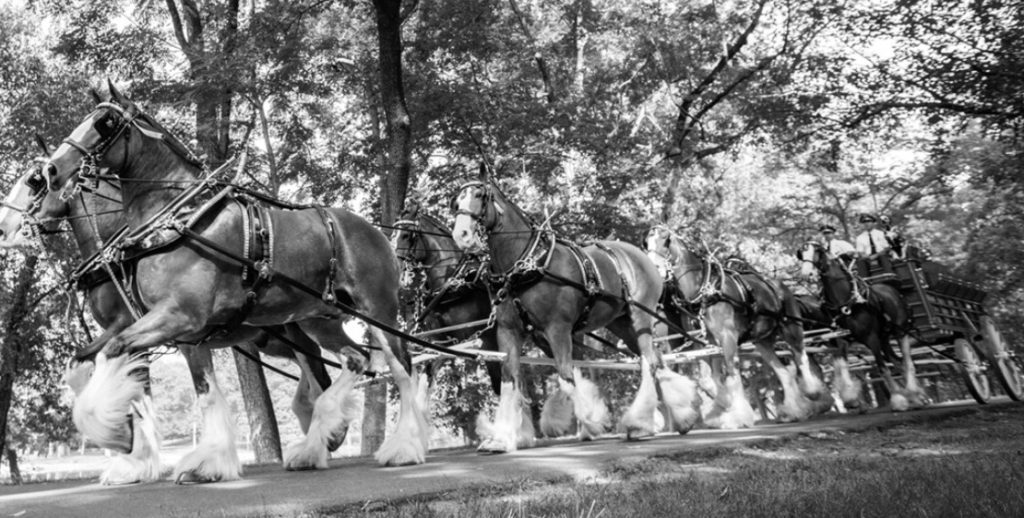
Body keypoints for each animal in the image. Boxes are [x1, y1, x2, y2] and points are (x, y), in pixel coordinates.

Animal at [35, 85, 428, 477]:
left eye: (104, 122)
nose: (52, 169)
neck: (178, 221)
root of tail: (374, 230)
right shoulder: (186, 334)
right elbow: (203, 392)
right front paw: (206, 462)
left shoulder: (176, 316)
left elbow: (116, 355)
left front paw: (120, 438)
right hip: (316, 319)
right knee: (354, 360)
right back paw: (315, 445)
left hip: (378, 311)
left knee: (401, 369)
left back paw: (403, 447)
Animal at [452, 167, 700, 450]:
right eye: (456, 201)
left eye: (480, 196)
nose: (461, 235)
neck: (524, 264)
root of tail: (641, 256)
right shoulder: (509, 331)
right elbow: (508, 381)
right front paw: (502, 438)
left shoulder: (557, 329)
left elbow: (566, 376)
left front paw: (589, 422)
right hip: (622, 323)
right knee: (655, 361)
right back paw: (675, 418)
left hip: (640, 317)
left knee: (648, 362)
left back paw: (641, 423)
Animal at [647, 224, 831, 427]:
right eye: (646, 243)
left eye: (665, 240)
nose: (654, 270)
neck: (704, 289)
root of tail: (779, 285)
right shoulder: (706, 341)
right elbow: (708, 380)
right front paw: (723, 408)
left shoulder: (727, 336)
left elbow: (732, 374)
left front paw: (740, 416)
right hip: (762, 340)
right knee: (784, 373)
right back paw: (794, 412)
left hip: (791, 327)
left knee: (801, 357)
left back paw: (814, 394)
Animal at [794, 240, 933, 411]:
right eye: (801, 254)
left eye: (817, 252)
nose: (806, 274)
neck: (846, 301)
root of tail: (893, 290)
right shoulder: (841, 340)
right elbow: (843, 367)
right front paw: (850, 399)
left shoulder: (871, 338)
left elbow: (882, 368)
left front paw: (897, 400)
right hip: (884, 338)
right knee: (897, 362)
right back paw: (916, 396)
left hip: (901, 332)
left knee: (907, 362)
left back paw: (915, 393)